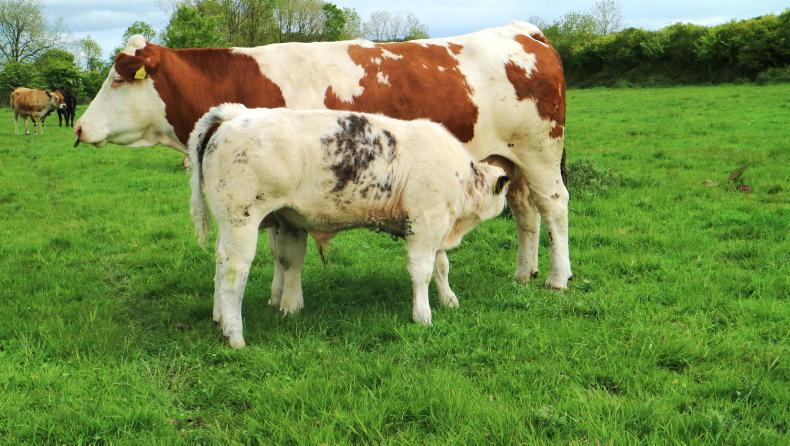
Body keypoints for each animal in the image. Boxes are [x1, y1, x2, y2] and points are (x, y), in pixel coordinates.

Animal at [75, 21, 573, 290]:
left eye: (118, 78)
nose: (79, 127)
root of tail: (523, 31)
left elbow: (283, 249)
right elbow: (280, 249)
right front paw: (279, 296)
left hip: (541, 153)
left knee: (554, 208)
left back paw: (556, 277)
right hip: (510, 161)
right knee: (525, 212)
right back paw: (523, 272)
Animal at [189, 104, 511, 348]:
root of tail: (233, 114)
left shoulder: (439, 226)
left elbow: (442, 267)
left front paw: (449, 300)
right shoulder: (424, 223)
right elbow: (422, 271)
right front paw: (423, 315)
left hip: (232, 223)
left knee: (220, 263)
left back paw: (219, 318)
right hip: (241, 219)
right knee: (234, 271)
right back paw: (235, 335)